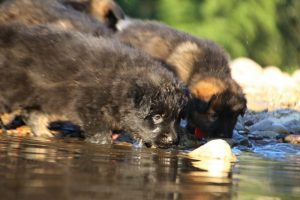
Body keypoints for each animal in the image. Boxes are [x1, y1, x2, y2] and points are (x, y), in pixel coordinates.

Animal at [0, 24, 188, 148]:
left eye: (178, 118)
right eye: (157, 117)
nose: (173, 140)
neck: (120, 84)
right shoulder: (89, 106)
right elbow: (100, 132)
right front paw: (103, 143)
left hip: (44, 95)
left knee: (33, 114)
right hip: (14, 90)